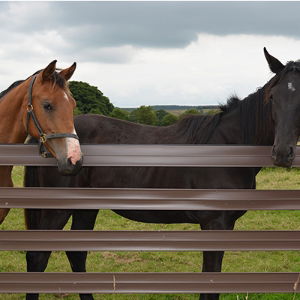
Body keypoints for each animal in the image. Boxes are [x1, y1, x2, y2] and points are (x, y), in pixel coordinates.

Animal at [24, 49, 300, 300]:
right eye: (272, 97)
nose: (282, 153)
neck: (227, 147)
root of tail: (48, 140)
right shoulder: (215, 224)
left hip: (85, 208)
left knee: (77, 254)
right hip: (56, 210)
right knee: (38, 257)